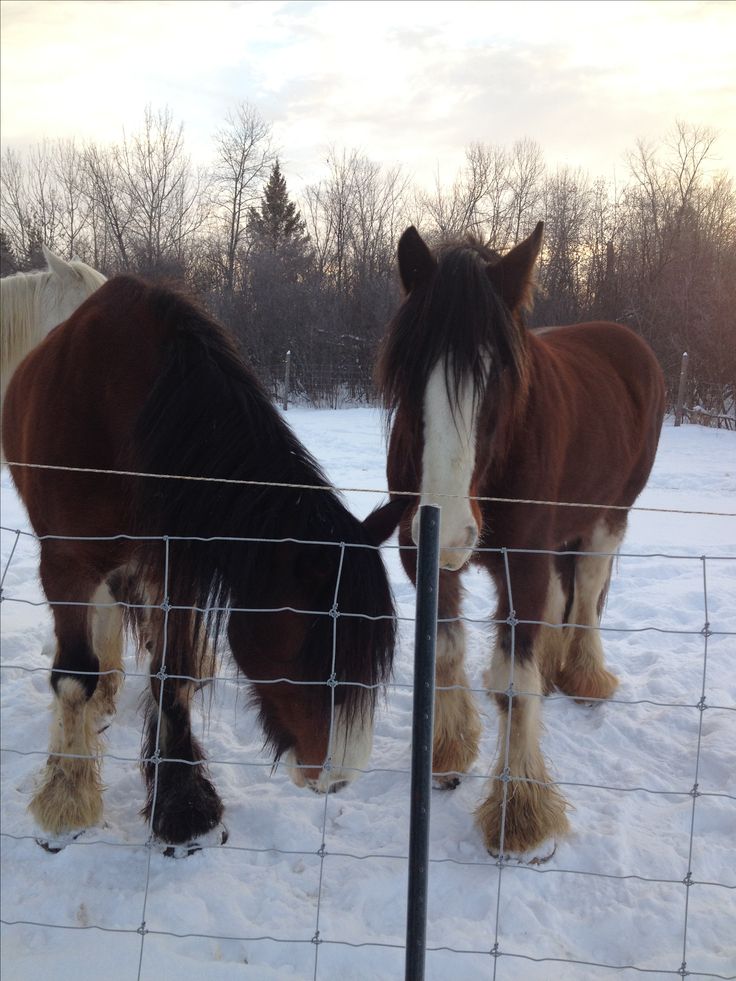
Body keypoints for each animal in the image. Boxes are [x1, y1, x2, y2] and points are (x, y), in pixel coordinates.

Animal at [2, 278, 402, 848]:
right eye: (315, 648)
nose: (338, 777)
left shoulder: (177, 565)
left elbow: (174, 671)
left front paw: (179, 796)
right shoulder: (65, 564)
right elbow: (75, 677)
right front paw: (66, 797)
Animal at [376, 222, 664, 856]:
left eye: (498, 376)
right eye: (407, 370)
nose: (451, 527)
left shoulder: (522, 563)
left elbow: (512, 684)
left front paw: (521, 812)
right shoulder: (420, 553)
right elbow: (446, 650)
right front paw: (446, 751)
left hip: (607, 517)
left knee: (585, 593)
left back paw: (583, 675)